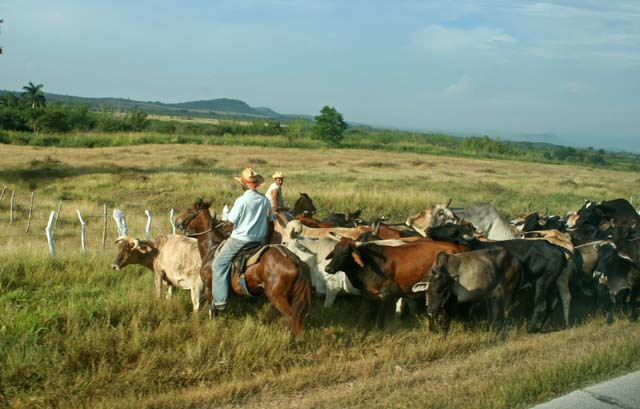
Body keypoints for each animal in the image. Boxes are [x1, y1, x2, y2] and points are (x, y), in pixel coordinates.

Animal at [175, 198, 312, 334]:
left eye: (189, 210)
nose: (177, 221)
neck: (211, 248)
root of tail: (294, 259)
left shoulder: (209, 287)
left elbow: (212, 310)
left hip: (276, 296)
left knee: (292, 317)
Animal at [324, 236, 464, 326]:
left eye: (345, 254)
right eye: (335, 251)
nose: (328, 268)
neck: (369, 263)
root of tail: (457, 248)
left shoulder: (386, 295)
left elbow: (380, 318)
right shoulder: (368, 295)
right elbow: (364, 316)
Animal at [428, 223, 572, 332]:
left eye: (452, 230)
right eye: (445, 224)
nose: (429, 230)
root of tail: (557, 249)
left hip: (543, 281)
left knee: (540, 306)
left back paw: (530, 328)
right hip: (555, 282)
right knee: (556, 302)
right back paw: (545, 326)